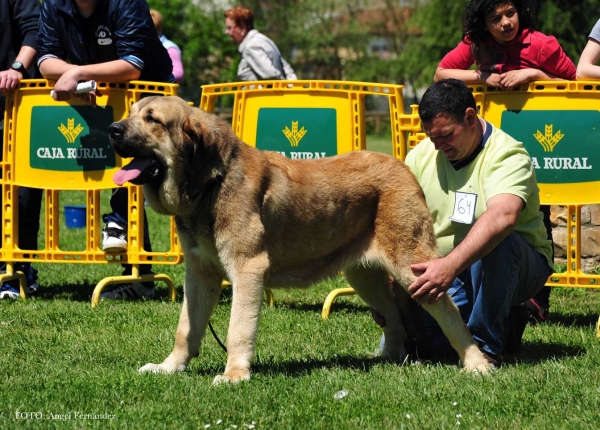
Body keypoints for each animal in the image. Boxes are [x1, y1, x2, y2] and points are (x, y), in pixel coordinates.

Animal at [108, 95, 492, 382]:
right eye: (131, 113)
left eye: (152, 119)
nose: (112, 129)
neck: (210, 182)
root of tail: (403, 166)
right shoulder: (200, 273)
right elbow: (186, 327)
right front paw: (169, 367)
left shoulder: (248, 270)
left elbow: (237, 329)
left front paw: (233, 375)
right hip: (364, 276)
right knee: (394, 318)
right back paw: (387, 359)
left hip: (413, 268)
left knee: (447, 311)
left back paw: (476, 364)